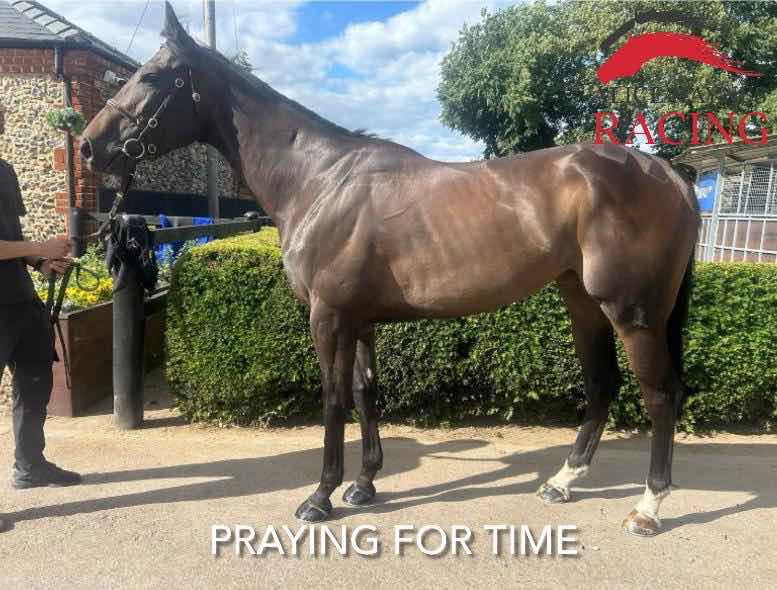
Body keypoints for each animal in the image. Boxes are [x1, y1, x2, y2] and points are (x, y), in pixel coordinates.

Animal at [80, 3, 700, 537]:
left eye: (153, 77)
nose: (88, 146)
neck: (320, 179)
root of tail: (670, 176)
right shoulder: (360, 320)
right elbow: (364, 392)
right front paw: (363, 485)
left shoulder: (328, 317)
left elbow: (333, 398)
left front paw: (320, 496)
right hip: (582, 301)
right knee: (603, 384)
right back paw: (563, 482)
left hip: (633, 312)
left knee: (661, 394)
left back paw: (648, 508)